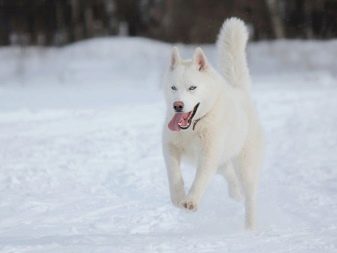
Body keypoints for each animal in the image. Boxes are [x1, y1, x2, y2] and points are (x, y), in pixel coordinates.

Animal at [161, 17, 264, 229]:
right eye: (173, 87)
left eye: (192, 88)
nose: (177, 105)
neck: (193, 127)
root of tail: (241, 92)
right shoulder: (169, 147)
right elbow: (174, 174)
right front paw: (178, 198)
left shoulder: (208, 155)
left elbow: (200, 179)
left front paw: (190, 201)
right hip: (223, 161)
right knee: (230, 174)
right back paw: (235, 193)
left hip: (245, 165)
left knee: (250, 196)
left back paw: (250, 227)